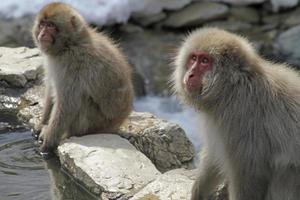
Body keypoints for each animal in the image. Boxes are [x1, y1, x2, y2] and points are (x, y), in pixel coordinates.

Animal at [31, 2, 134, 155]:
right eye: (42, 24)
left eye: (51, 25)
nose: (42, 34)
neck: (70, 44)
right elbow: (50, 91)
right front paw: (41, 125)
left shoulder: (72, 64)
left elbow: (67, 104)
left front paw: (46, 147)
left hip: (94, 123)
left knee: (82, 101)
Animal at [171, 27, 300, 200]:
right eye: (193, 58)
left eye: (205, 61)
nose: (190, 74)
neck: (232, 86)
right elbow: (215, 156)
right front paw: (199, 192)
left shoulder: (239, 117)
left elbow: (250, 173)